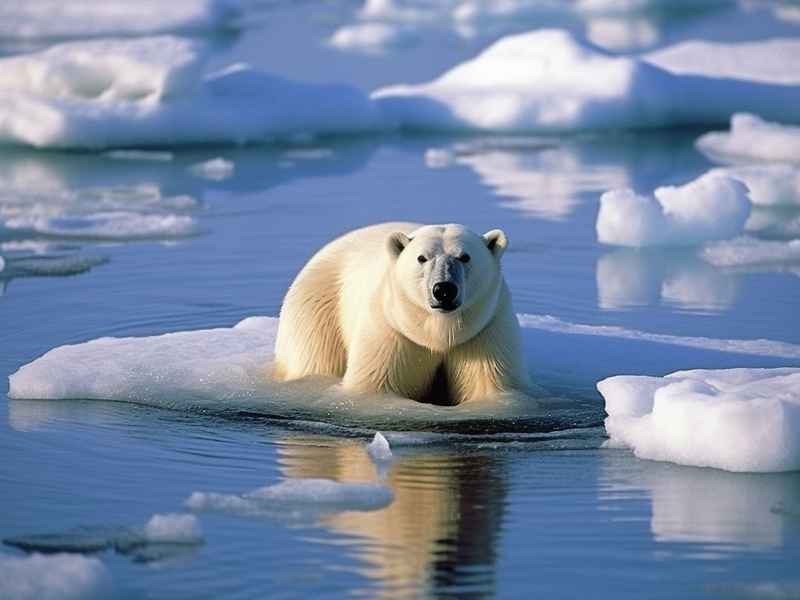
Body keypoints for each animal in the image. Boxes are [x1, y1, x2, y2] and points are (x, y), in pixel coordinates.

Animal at [273, 222, 530, 405]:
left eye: (465, 257)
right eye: (422, 258)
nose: (444, 290)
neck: (439, 332)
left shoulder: (486, 331)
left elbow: (489, 386)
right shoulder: (391, 329)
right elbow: (375, 385)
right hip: (318, 307)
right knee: (318, 358)